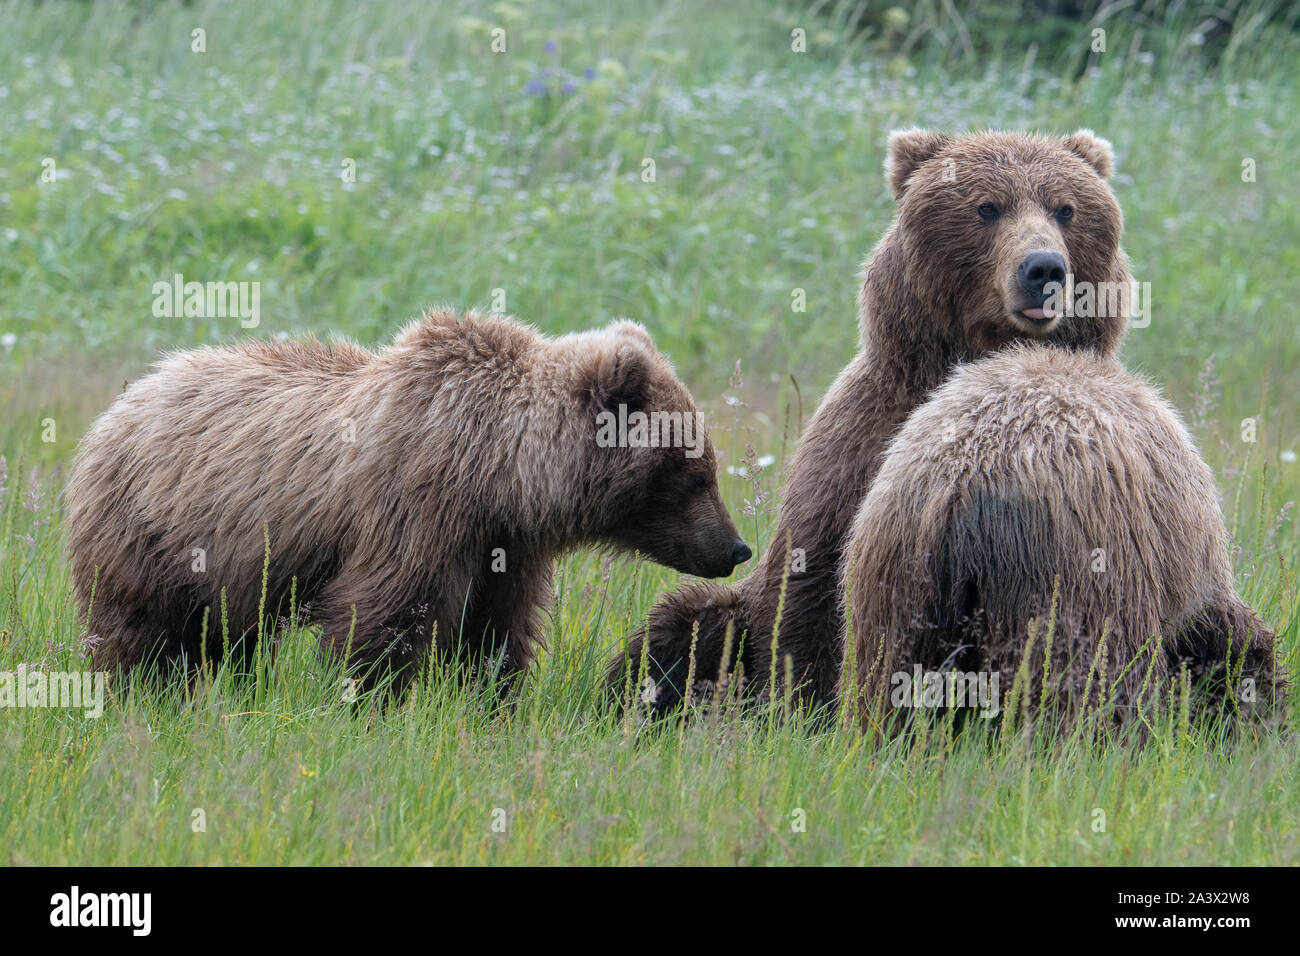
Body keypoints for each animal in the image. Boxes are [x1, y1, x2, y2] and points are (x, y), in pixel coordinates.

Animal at [605, 127, 1128, 712]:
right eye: (988, 206)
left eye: (1066, 208)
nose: (1043, 268)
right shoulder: (856, 447)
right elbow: (809, 588)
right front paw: (800, 703)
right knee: (683, 625)